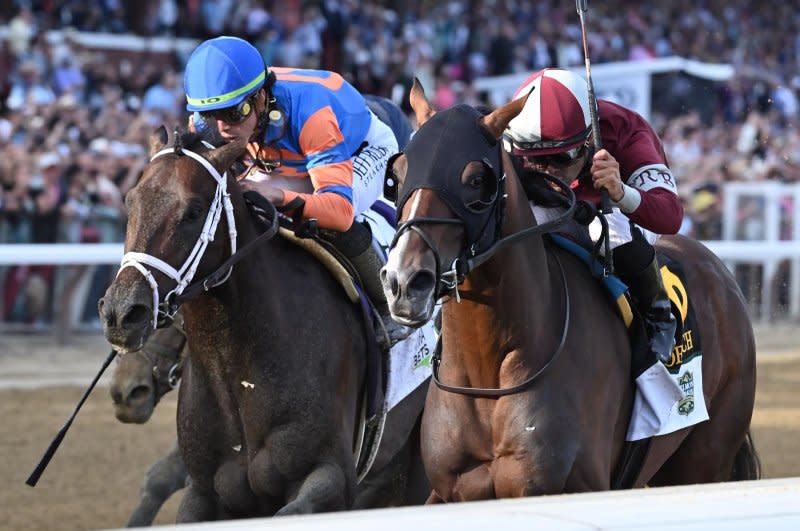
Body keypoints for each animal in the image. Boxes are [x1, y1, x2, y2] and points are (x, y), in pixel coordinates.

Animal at [99, 130, 428, 524]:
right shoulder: (205, 492)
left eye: (193, 211)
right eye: (130, 202)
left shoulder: (331, 475)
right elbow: (163, 480)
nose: (121, 314)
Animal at [378, 82, 760, 502]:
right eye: (398, 173)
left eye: (476, 180)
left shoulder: (574, 484)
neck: (488, 375)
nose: (404, 281)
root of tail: (721, 273)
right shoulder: (449, 491)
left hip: (706, 457)